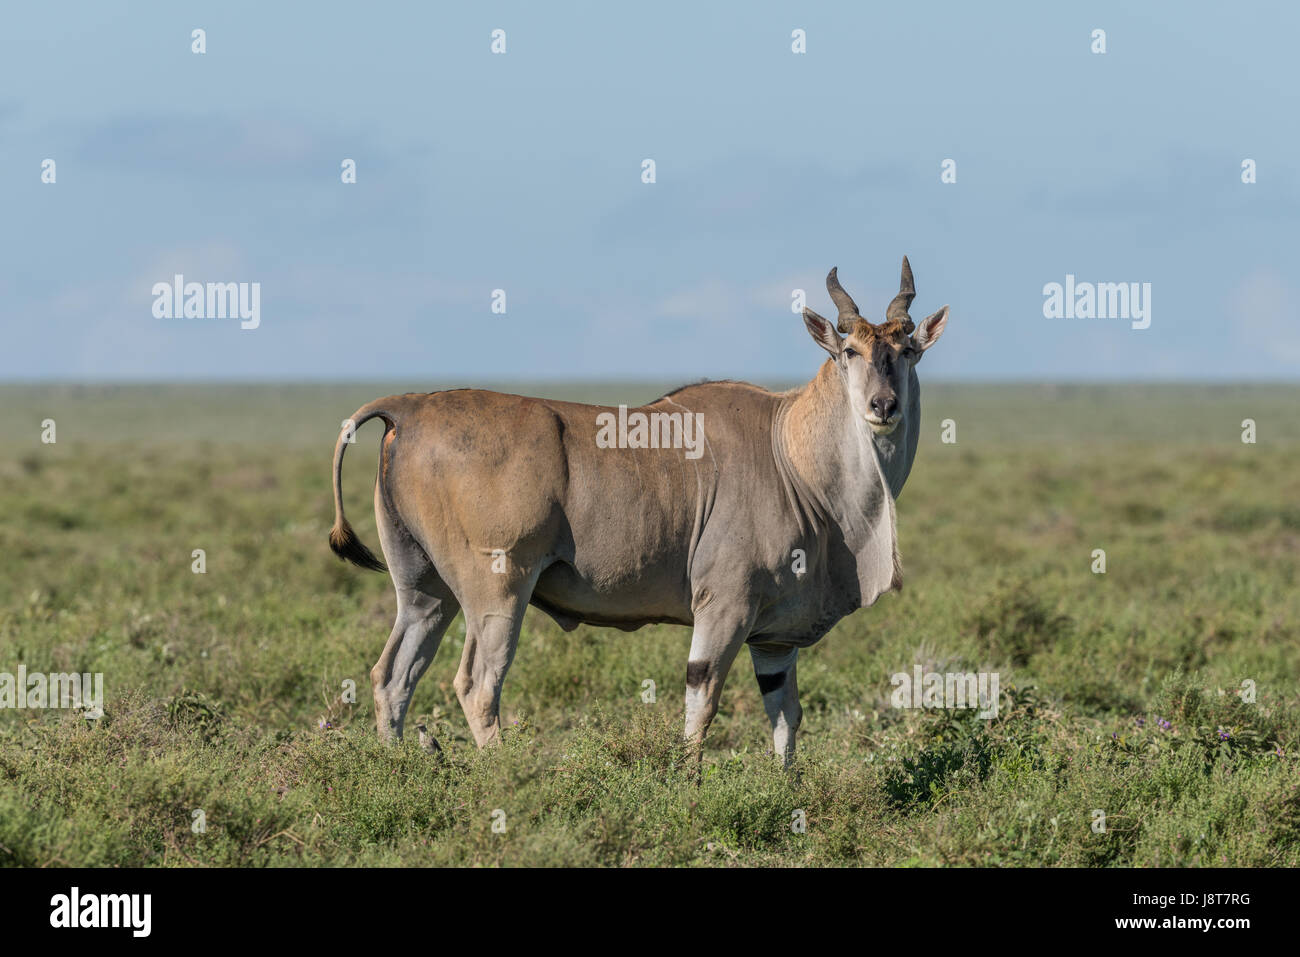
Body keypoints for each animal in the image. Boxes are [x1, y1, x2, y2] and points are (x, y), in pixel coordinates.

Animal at [330, 256, 951, 764]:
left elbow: (786, 720)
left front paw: (787, 794)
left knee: (392, 677)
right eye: (850, 351)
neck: (791, 452)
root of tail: (410, 407)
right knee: (478, 686)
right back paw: (505, 776)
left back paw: (396, 773)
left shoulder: (773, 639)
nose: (883, 406)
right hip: (498, 593)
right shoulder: (725, 608)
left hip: (424, 593)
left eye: (907, 351)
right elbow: (702, 704)